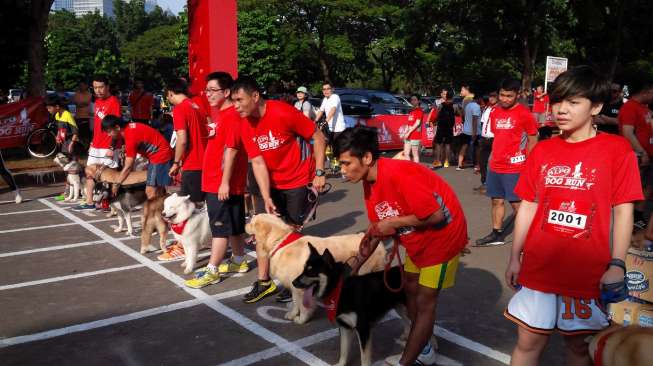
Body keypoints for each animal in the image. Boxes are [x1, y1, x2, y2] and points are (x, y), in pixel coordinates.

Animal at [244, 213, 388, 324]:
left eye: (252, 222)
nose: (245, 224)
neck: (280, 241)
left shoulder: (301, 285)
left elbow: (302, 305)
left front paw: (302, 319)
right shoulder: (294, 284)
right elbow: (295, 302)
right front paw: (292, 314)